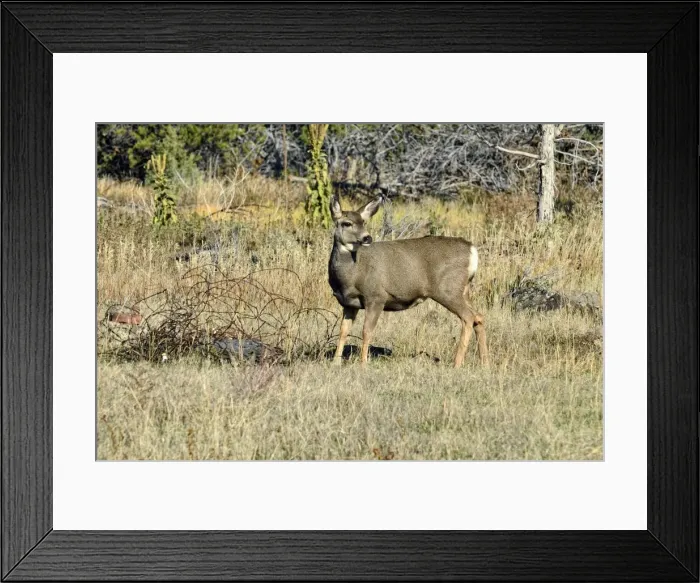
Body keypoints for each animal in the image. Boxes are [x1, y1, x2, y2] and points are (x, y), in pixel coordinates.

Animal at [328, 195, 488, 367]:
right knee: (478, 316)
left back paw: (457, 363)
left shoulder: (376, 296)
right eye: (347, 223)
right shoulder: (349, 304)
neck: (352, 275)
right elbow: (343, 331)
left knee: (468, 317)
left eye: (363, 222)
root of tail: (472, 250)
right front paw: (335, 362)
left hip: (448, 289)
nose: (367, 237)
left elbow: (366, 331)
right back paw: (484, 362)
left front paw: (363, 363)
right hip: (464, 289)